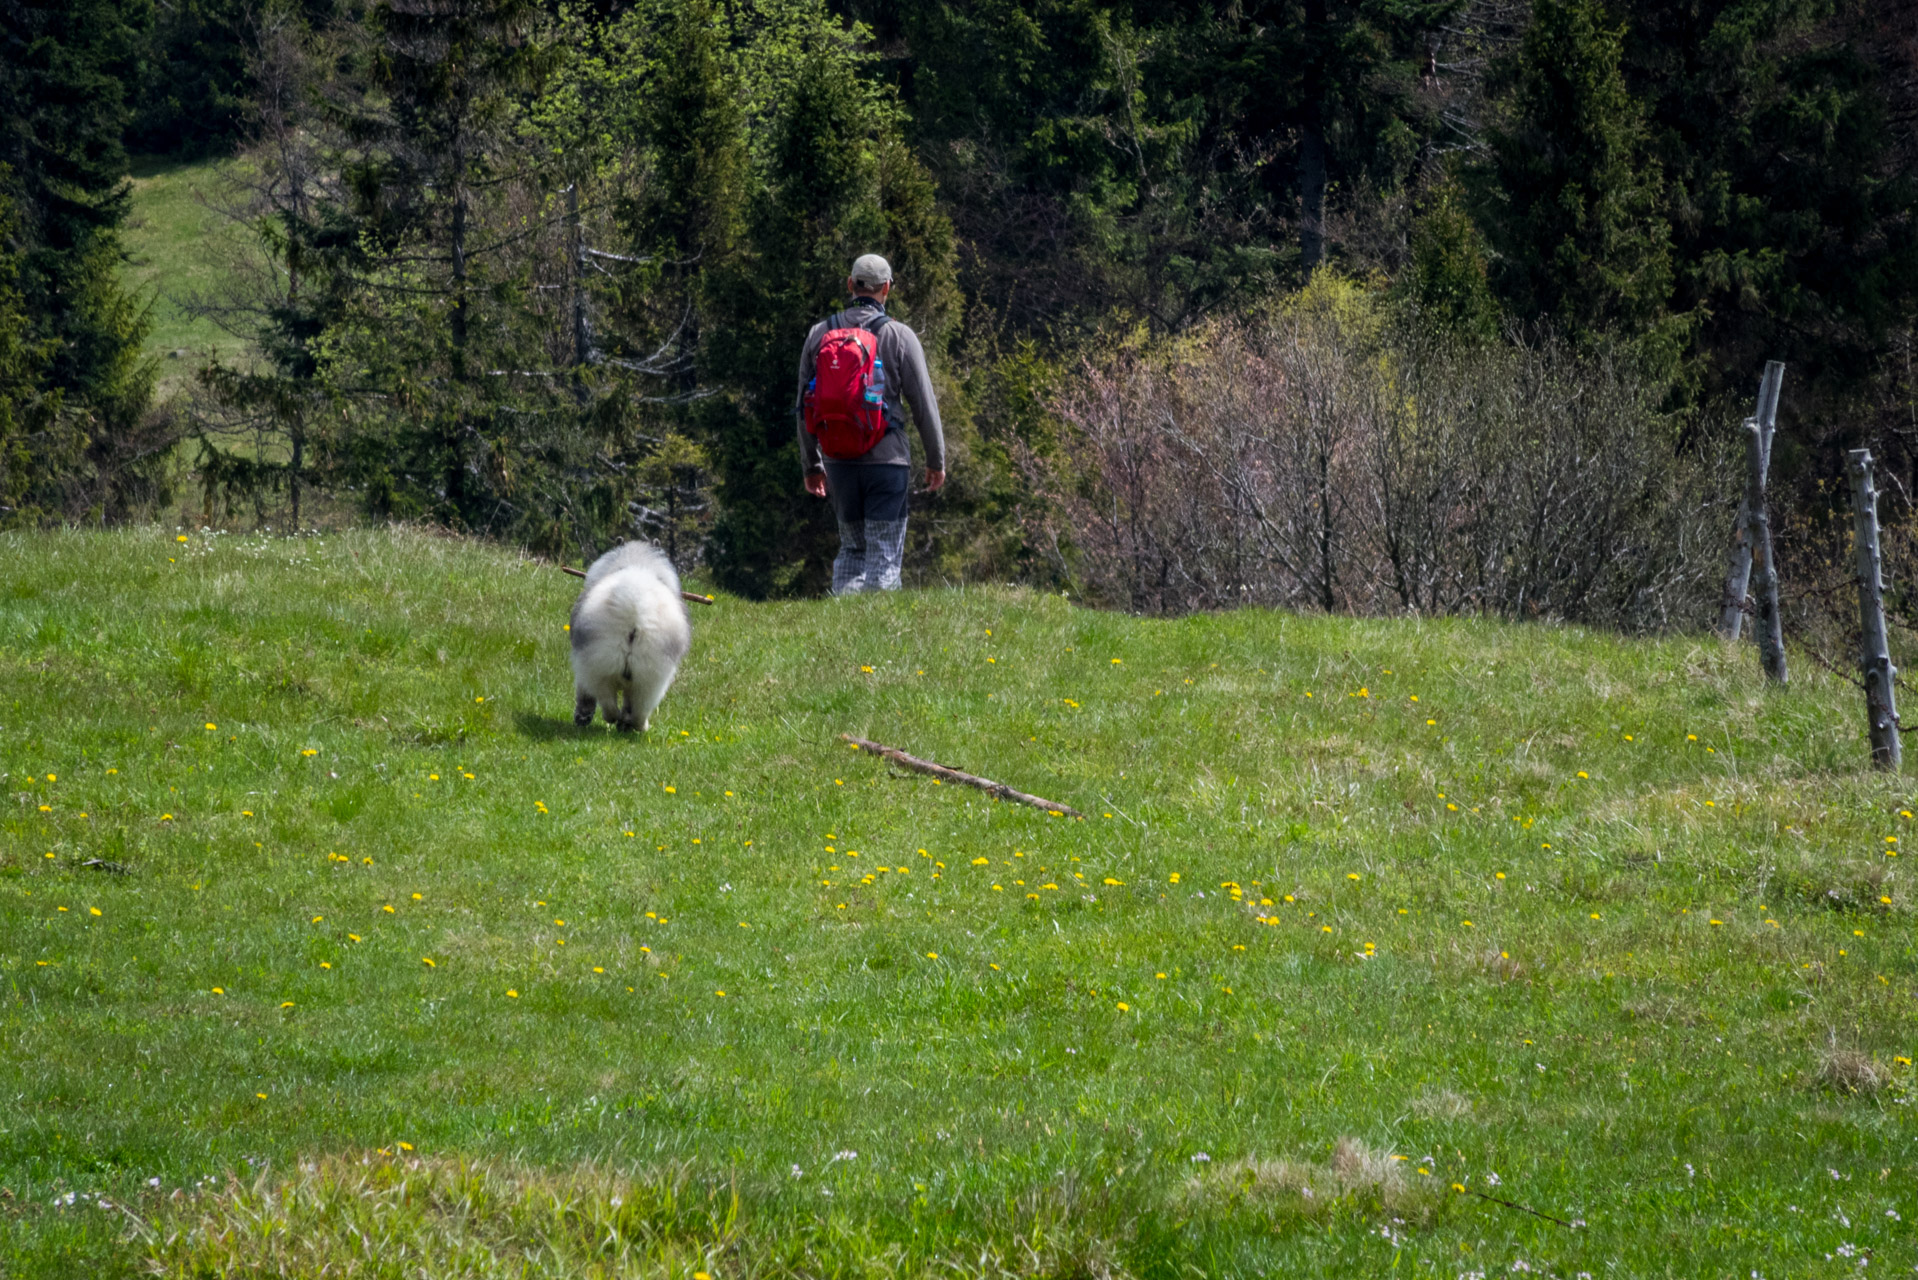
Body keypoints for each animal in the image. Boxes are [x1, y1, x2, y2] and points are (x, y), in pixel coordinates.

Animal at [567, 545, 690, 736]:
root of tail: (634, 605)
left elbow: (584, 694)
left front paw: (583, 717)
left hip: (600, 667)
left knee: (610, 703)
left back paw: (616, 721)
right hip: (651, 678)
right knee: (638, 709)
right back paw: (634, 726)